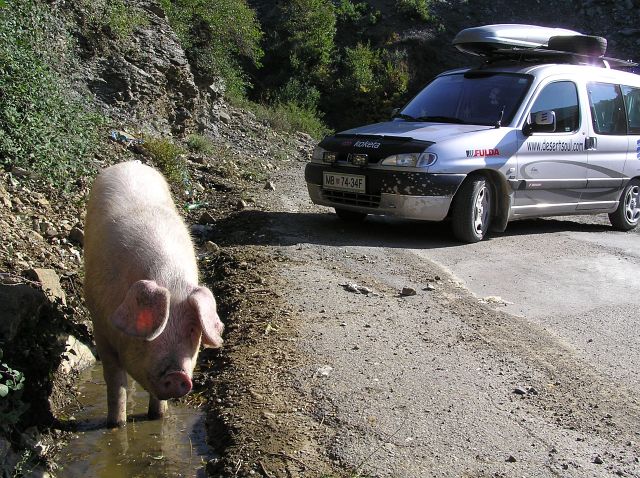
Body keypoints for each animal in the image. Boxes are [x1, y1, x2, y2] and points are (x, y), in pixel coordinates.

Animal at [82, 161, 224, 426]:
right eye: (155, 328)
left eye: (192, 329)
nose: (178, 375)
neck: (169, 279)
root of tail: (131, 162)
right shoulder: (101, 328)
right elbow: (115, 383)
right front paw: (116, 425)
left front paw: (158, 417)